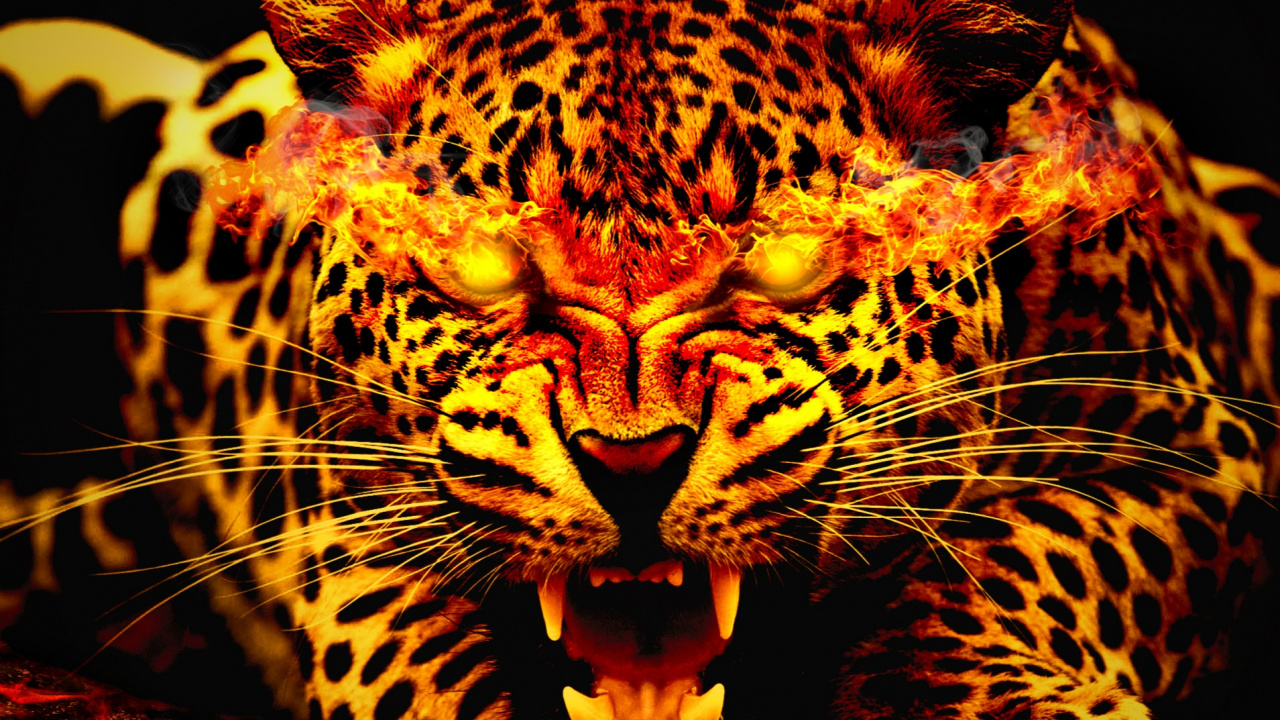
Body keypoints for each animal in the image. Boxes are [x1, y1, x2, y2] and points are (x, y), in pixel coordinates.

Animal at [0, 1, 1278, 720]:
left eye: (786, 259)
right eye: (477, 262)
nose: (630, 463)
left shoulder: (1198, 453)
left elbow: (1004, 560)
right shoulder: (344, 507)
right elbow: (405, 653)